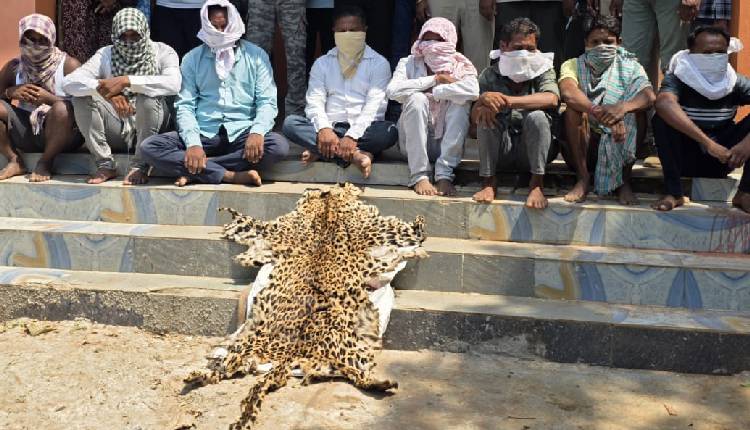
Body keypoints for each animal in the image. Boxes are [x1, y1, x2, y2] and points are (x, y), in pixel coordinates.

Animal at [183, 183, 427, 429]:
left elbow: (252, 227)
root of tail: (290, 353)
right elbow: (411, 233)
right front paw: (419, 231)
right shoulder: (380, 229)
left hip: (250, 349)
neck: (327, 206)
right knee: (349, 373)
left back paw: (197, 375)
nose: (352, 185)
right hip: (352, 351)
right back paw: (382, 383)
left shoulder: (276, 230)